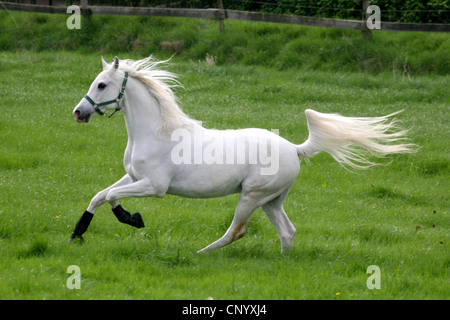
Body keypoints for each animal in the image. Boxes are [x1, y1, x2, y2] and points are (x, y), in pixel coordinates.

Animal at [71, 57, 414, 252]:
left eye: (102, 84)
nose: (78, 112)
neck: (156, 132)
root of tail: (295, 149)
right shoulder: (133, 176)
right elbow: (100, 196)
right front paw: (80, 233)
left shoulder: (154, 187)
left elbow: (109, 197)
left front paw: (132, 220)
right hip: (271, 200)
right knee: (288, 233)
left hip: (251, 196)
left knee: (237, 230)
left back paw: (201, 254)